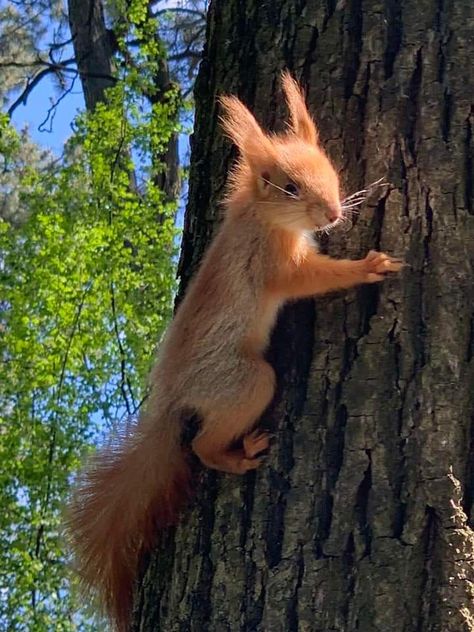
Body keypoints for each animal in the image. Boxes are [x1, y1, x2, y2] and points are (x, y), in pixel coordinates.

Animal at [65, 71, 400, 628]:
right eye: (288, 187)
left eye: (329, 169)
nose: (332, 212)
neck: (264, 220)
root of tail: (174, 400)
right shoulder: (271, 265)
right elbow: (310, 279)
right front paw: (366, 267)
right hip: (243, 383)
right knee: (203, 445)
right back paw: (239, 455)